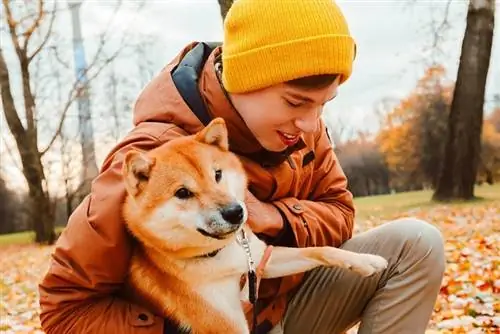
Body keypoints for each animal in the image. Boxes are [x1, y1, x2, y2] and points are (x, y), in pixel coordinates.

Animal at [120, 118, 386, 334]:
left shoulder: (260, 261)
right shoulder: (226, 324)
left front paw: (365, 261)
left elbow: (320, 250)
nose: (235, 212)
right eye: (182, 193)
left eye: (217, 174)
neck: (221, 255)